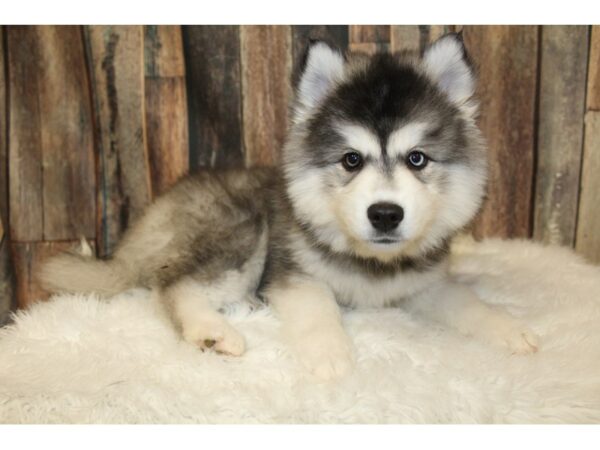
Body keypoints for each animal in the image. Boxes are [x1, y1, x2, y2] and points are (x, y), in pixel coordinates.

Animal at [42, 34, 540, 380]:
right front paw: (332, 356)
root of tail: (141, 227)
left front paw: (508, 328)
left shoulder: (425, 285)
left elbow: (466, 301)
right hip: (240, 228)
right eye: (351, 160)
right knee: (174, 286)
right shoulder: (293, 275)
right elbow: (320, 310)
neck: (370, 264)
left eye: (417, 159)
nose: (385, 214)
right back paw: (213, 331)